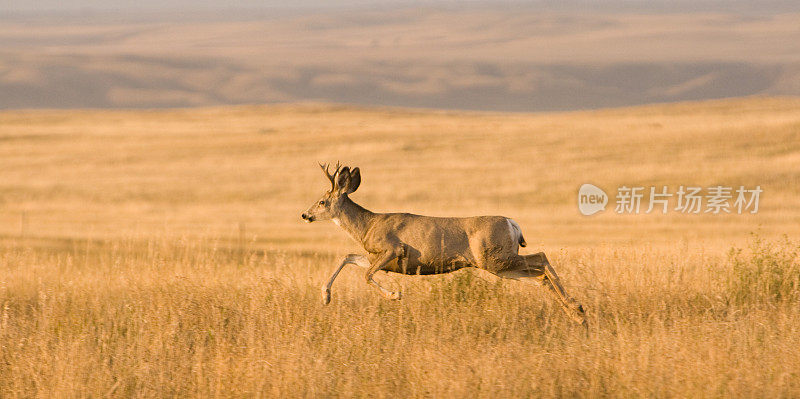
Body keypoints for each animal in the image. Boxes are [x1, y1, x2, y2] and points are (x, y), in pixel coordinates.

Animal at [302, 164, 588, 326]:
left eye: (322, 202)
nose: (305, 215)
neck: (367, 226)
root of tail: (512, 223)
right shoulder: (377, 257)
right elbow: (348, 257)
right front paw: (326, 297)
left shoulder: (394, 250)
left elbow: (365, 274)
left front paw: (395, 295)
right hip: (501, 265)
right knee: (539, 276)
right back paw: (577, 315)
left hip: (494, 257)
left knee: (541, 257)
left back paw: (577, 308)